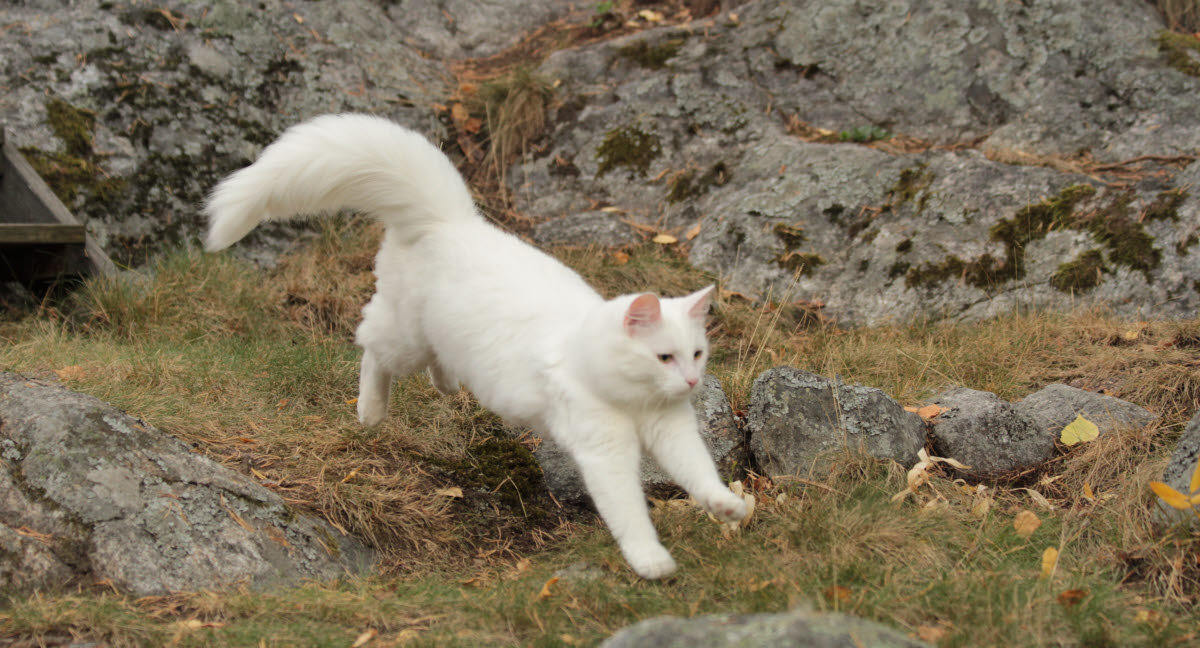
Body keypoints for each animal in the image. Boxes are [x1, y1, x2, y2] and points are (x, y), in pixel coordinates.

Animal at [207, 114, 748, 580]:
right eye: (664, 357)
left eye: (697, 354)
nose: (691, 381)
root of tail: (450, 220)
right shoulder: (604, 452)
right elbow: (629, 512)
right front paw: (651, 561)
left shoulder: (672, 431)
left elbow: (700, 474)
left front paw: (727, 506)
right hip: (404, 337)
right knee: (370, 348)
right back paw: (370, 412)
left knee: (429, 360)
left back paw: (445, 386)